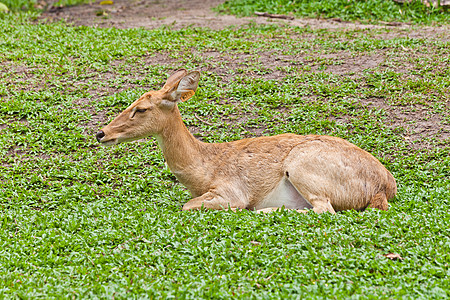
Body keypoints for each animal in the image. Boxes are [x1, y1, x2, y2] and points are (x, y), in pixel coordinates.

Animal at [96, 69, 398, 213]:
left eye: (141, 108)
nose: (101, 133)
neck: (203, 170)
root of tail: (384, 189)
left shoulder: (232, 191)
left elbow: (186, 205)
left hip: (303, 166)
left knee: (325, 209)